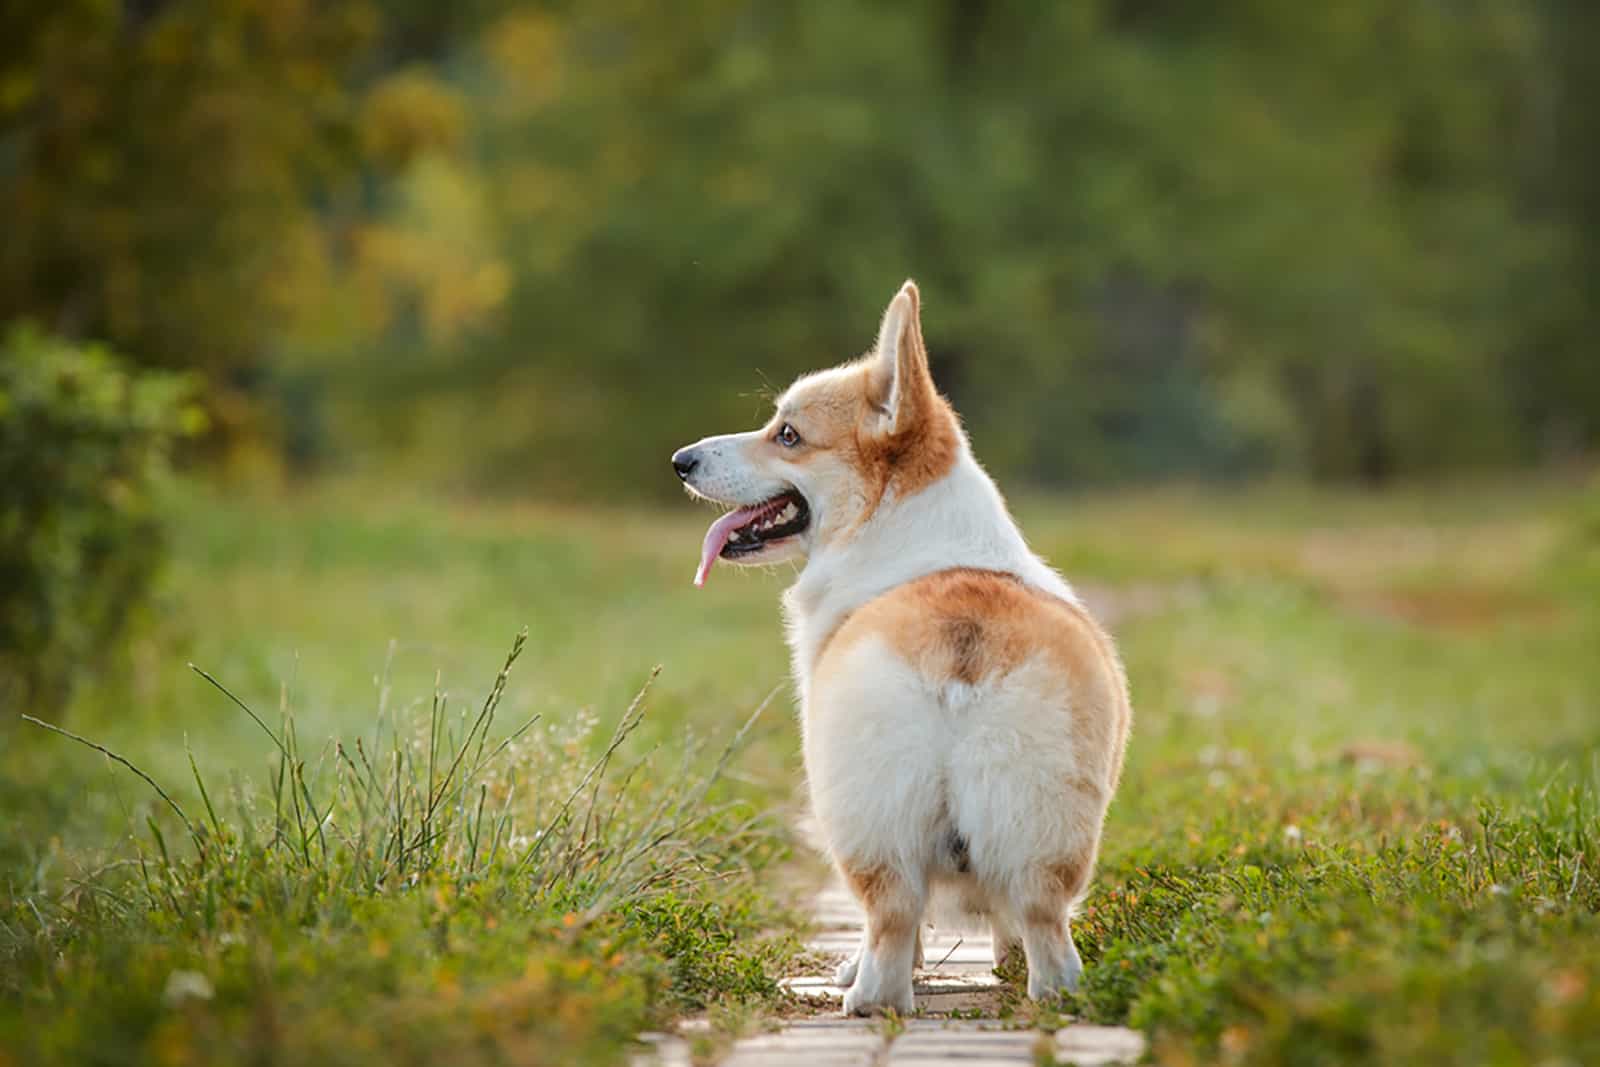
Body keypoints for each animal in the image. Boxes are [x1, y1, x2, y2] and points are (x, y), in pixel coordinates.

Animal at [668, 279, 1132, 1017]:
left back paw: (866, 997)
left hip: (859, 816)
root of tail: (960, 650)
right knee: (1042, 924)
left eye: (787, 435)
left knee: (888, 919)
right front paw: (1001, 962)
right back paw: (1047, 995)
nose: (680, 461)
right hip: (1042, 826)